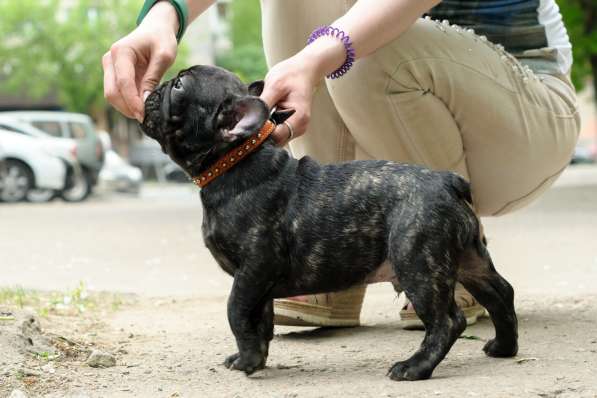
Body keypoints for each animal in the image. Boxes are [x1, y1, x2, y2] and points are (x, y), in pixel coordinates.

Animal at [141, 66, 516, 382]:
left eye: (179, 85)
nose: (154, 89)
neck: (235, 161)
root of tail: (448, 181)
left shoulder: (254, 268)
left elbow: (236, 311)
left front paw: (248, 362)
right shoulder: (260, 283)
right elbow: (260, 321)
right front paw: (253, 358)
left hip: (418, 264)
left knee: (447, 321)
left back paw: (414, 367)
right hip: (468, 260)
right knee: (500, 292)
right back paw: (504, 347)